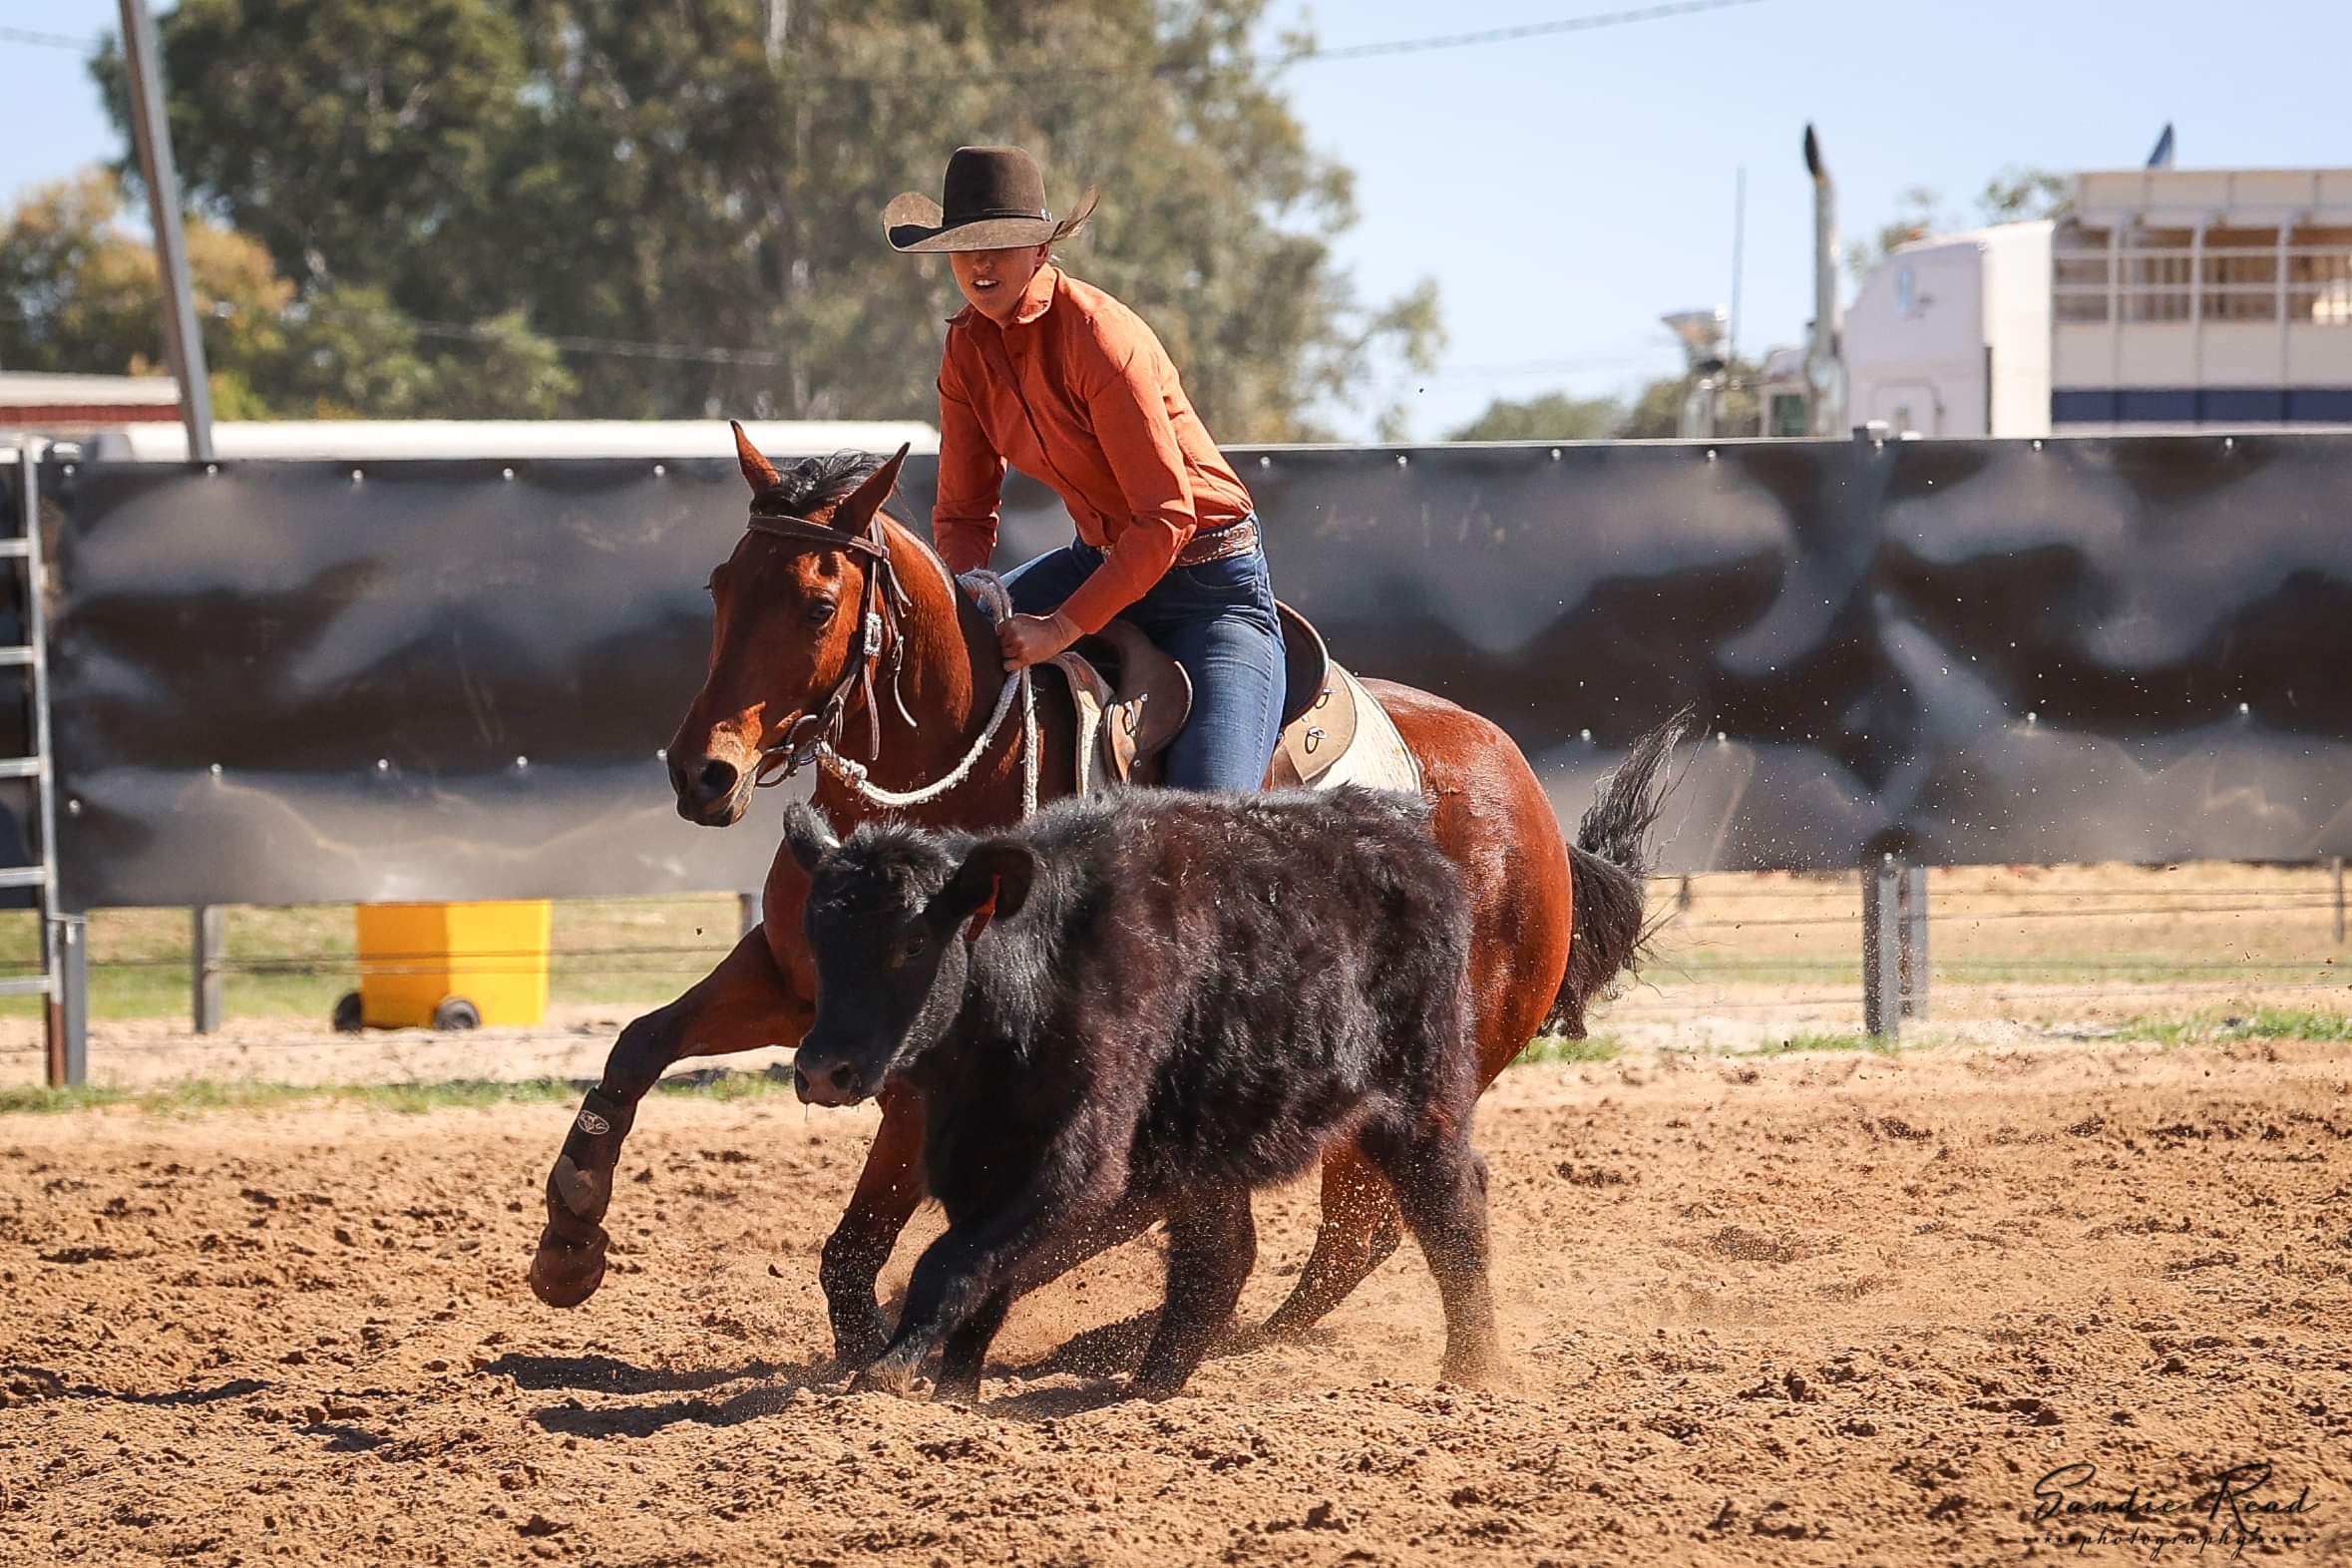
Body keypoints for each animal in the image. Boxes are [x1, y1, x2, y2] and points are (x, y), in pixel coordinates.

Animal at [782, 783, 1498, 1404]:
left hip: (1422, 1099)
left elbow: (946, 1266)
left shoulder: (1077, 1160)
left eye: (913, 942)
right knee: (1219, 1259)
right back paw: (1150, 1387)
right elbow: (985, 1279)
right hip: (1206, 1144)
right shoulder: (973, 1158)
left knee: (1453, 1214)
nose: (821, 1070)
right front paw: (954, 1391)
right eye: (818, 939)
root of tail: (1400, 830)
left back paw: (1472, 1372)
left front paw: (887, 1371)